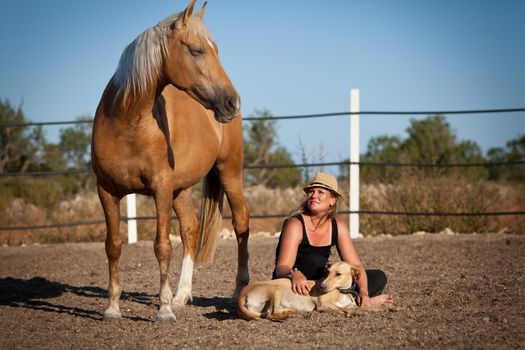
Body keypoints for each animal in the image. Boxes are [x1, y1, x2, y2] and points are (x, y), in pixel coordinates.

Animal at [92, 0, 250, 322]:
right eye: (197, 50)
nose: (232, 102)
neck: (127, 122)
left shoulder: (160, 188)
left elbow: (162, 246)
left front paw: (163, 310)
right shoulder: (107, 191)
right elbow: (113, 246)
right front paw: (112, 307)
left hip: (229, 171)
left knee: (241, 223)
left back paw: (237, 290)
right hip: (182, 189)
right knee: (190, 229)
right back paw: (181, 295)